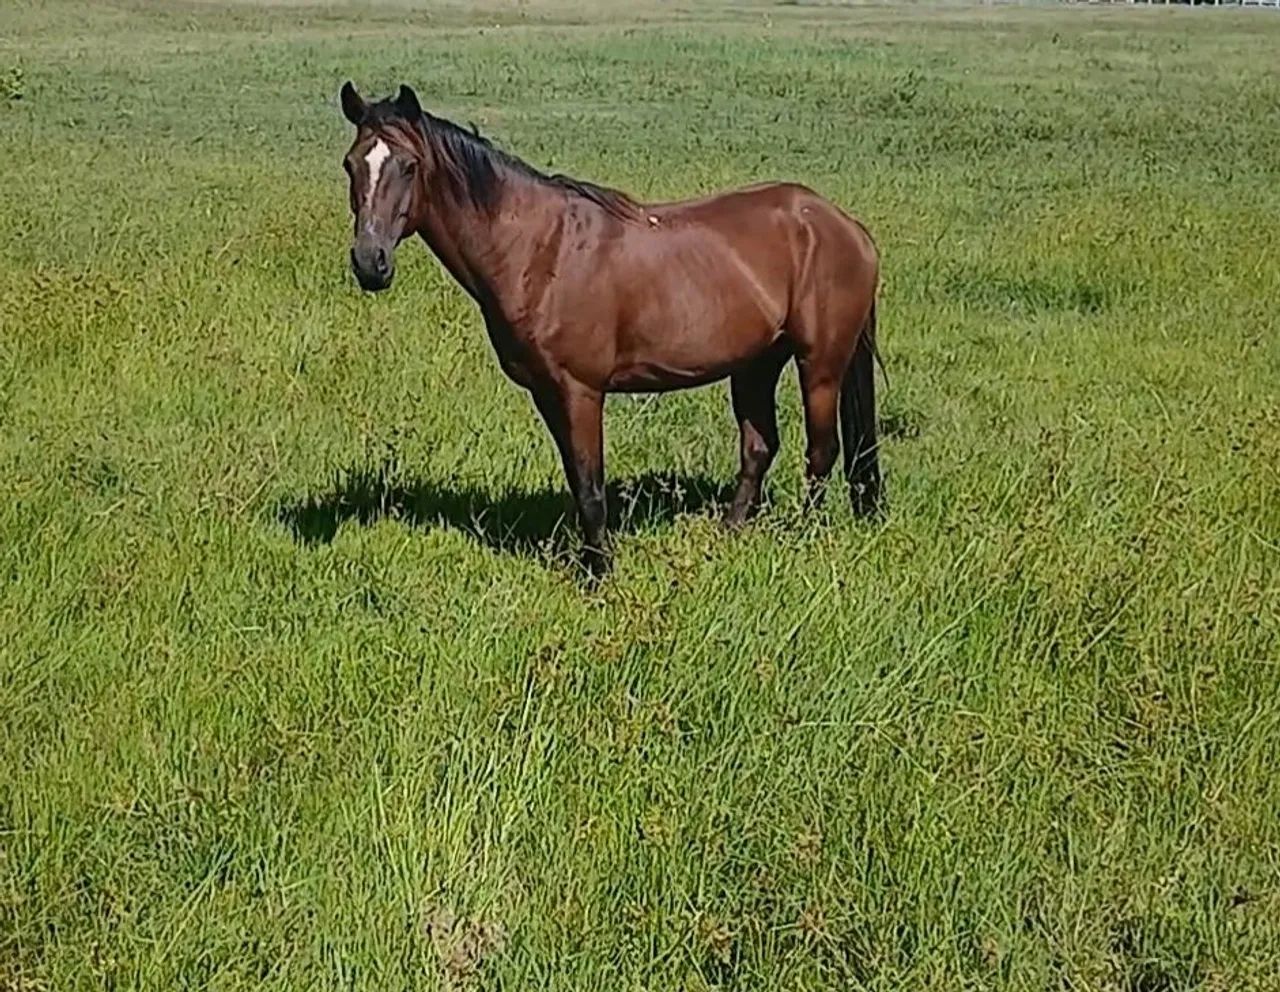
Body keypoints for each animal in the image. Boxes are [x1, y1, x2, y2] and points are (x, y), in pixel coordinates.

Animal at [337, 81, 883, 576]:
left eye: (409, 166)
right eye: (351, 164)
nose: (370, 262)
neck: (541, 249)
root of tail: (844, 225)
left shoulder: (582, 391)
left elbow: (591, 485)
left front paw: (599, 572)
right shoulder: (548, 392)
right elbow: (578, 479)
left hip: (820, 364)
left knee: (821, 452)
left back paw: (804, 535)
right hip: (756, 364)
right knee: (759, 447)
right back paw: (728, 533)